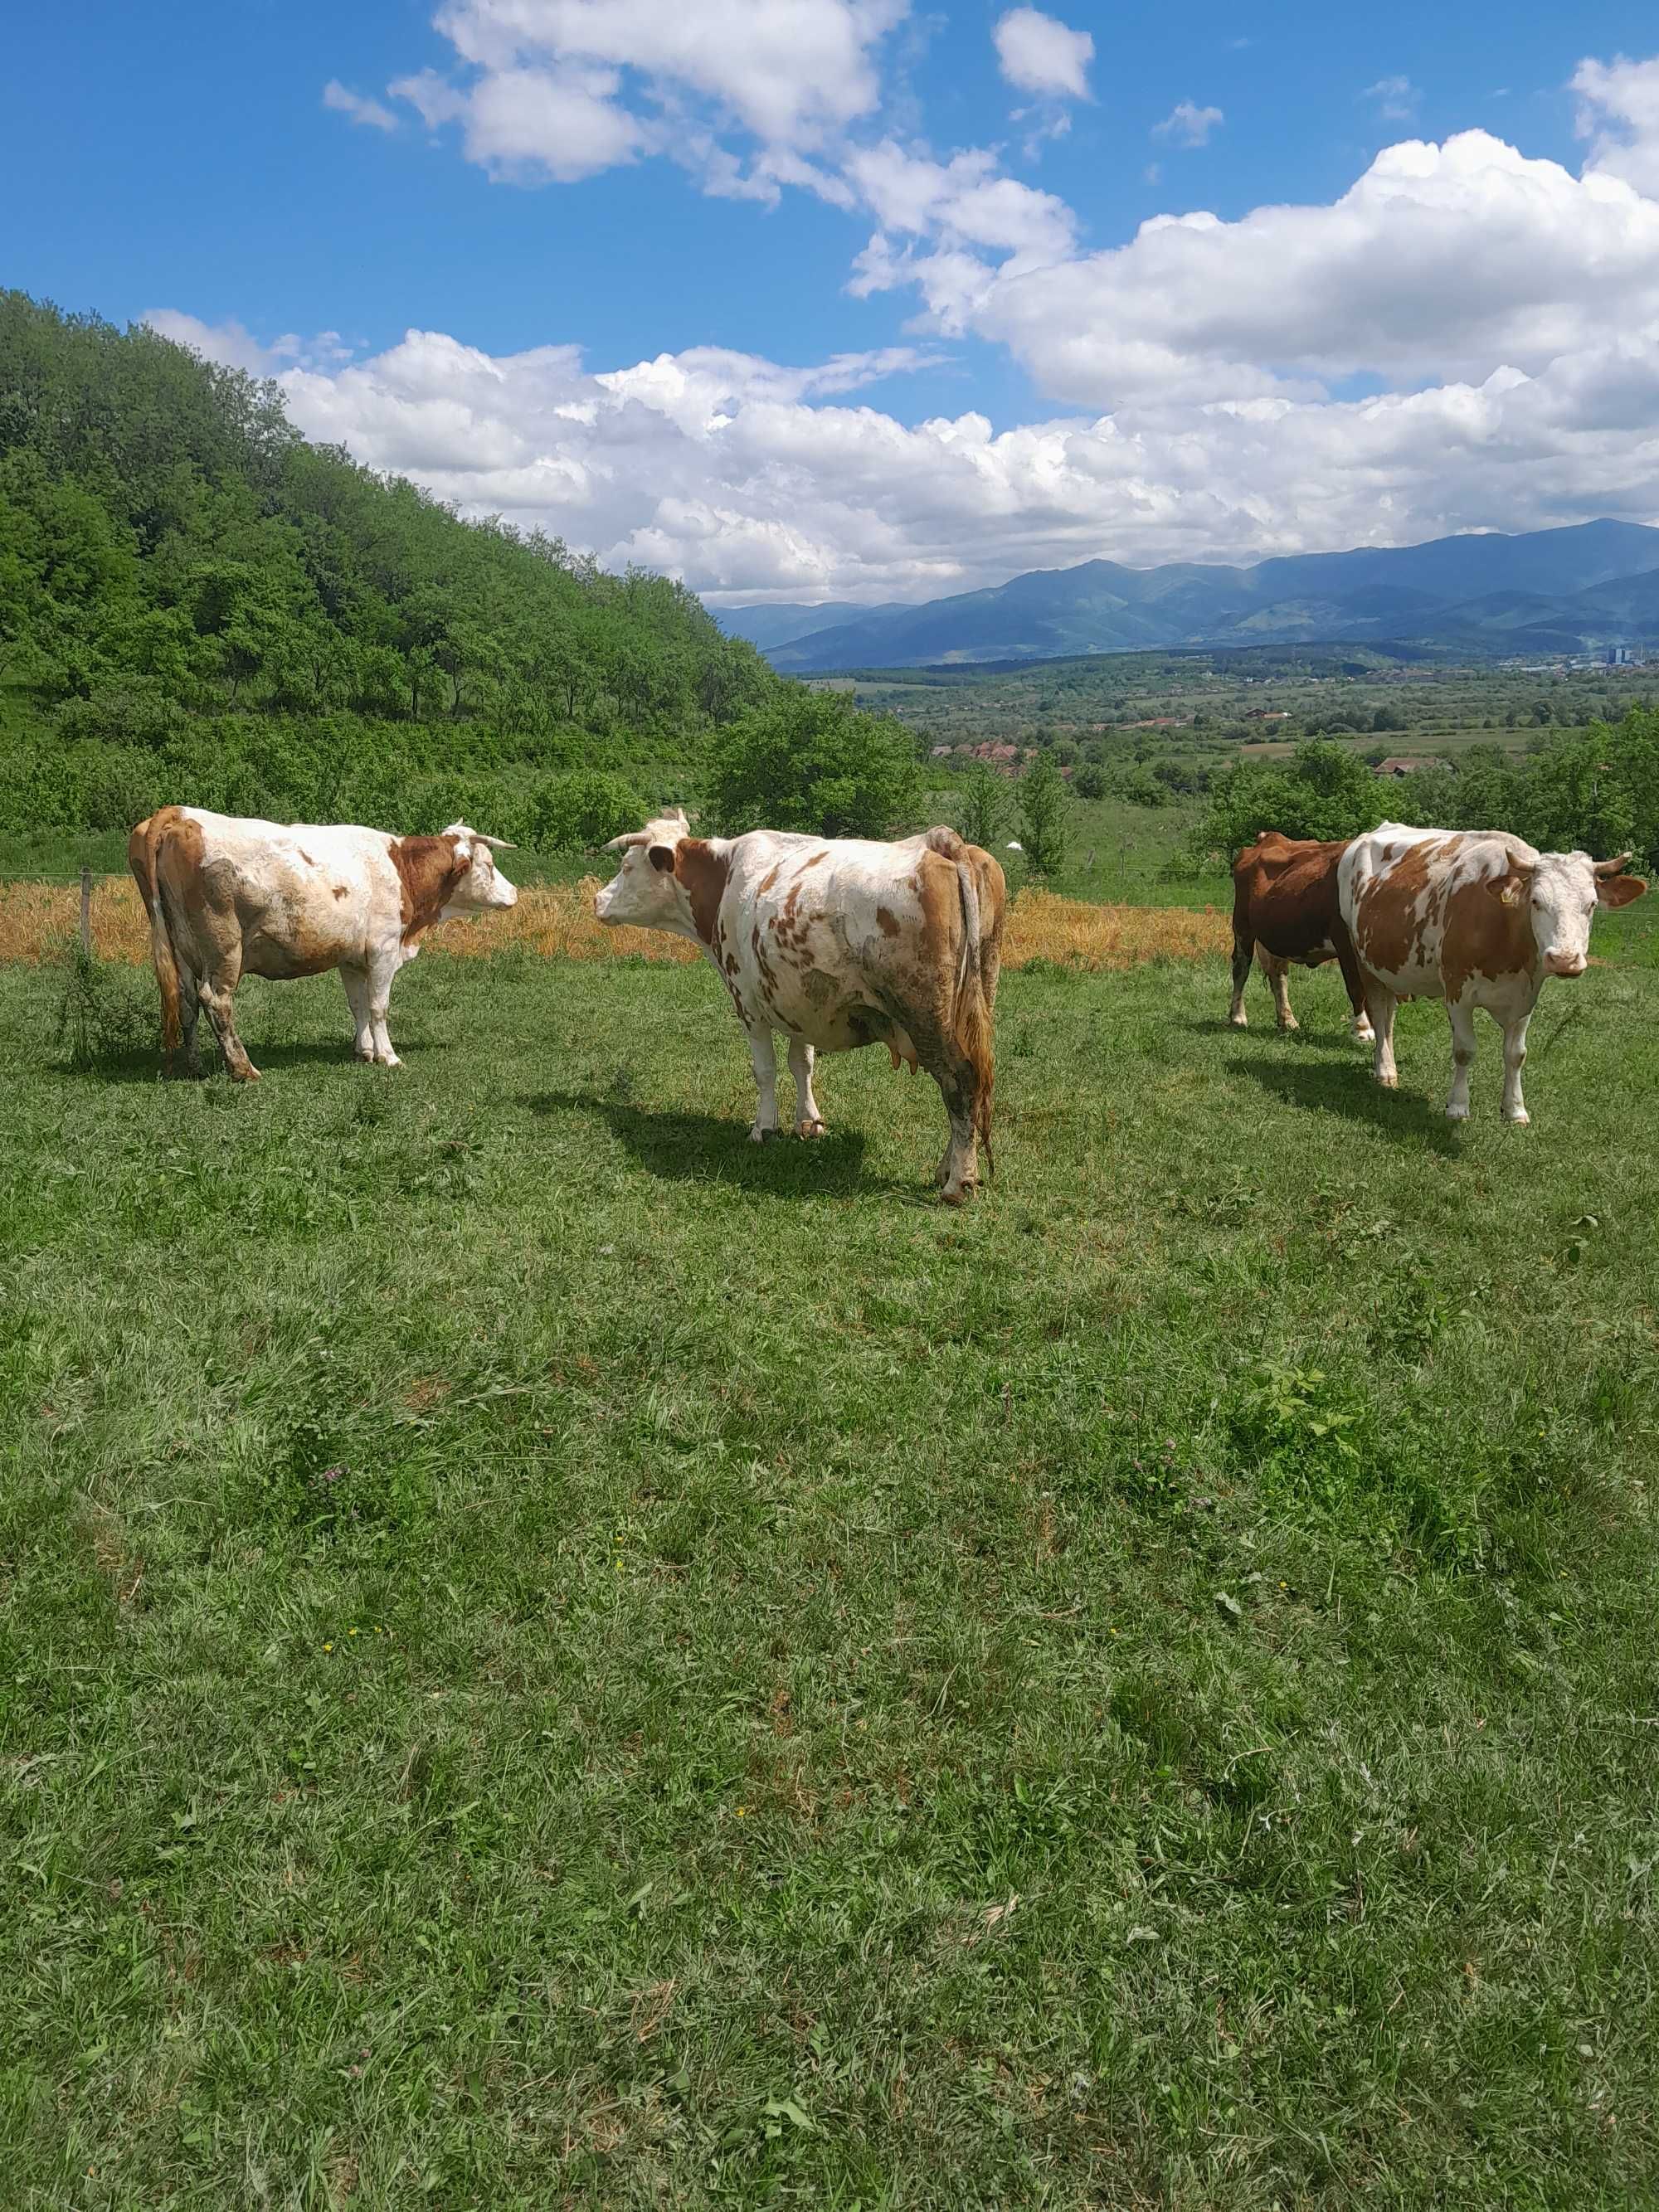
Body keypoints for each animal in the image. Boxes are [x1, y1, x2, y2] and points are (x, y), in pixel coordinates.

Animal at [128, 814, 518, 1088]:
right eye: (489, 865)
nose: (514, 894)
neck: (400, 869)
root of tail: (179, 814)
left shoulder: (352, 958)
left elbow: (358, 1005)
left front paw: (364, 1051)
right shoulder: (383, 950)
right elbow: (378, 1007)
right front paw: (389, 1056)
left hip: (182, 949)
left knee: (188, 1003)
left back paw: (194, 1066)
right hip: (223, 948)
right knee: (216, 1001)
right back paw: (243, 1069)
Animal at [597, 814, 1013, 1203]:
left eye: (627, 867)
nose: (598, 900)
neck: (725, 877)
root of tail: (937, 840)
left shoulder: (746, 1001)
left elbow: (765, 1070)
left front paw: (763, 1128)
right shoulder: (803, 1003)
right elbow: (802, 1064)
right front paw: (809, 1122)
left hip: (926, 1015)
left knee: (959, 1081)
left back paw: (958, 1182)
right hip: (974, 1002)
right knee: (971, 1087)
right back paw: (947, 1169)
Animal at [1238, 831, 1380, 1039]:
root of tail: (1268, 837)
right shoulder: (1344, 943)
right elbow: (1356, 986)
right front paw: (1362, 1029)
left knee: (1278, 975)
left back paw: (1288, 1021)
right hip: (1242, 926)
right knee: (1241, 967)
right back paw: (1237, 1017)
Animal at [1335, 818, 1654, 1123]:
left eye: (1592, 904)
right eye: (1536, 901)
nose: (1564, 959)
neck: (1505, 929)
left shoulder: (1525, 996)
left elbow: (1516, 1054)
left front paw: (1515, 1109)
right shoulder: (1457, 991)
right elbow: (1464, 1050)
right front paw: (1458, 1106)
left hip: (1388, 967)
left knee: (1388, 1016)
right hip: (1362, 960)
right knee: (1379, 1013)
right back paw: (1385, 1070)